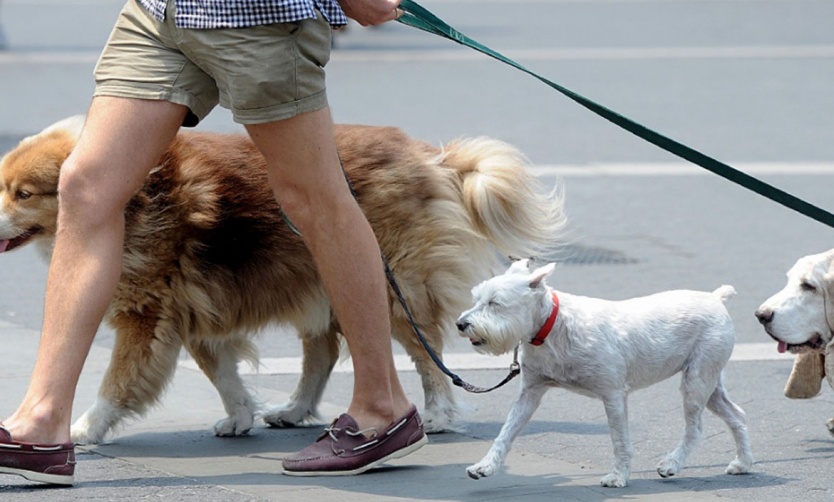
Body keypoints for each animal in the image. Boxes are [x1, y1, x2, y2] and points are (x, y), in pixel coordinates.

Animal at [0, 117, 564, 444]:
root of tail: (432, 156)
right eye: (4, 187)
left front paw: (81, 429)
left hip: (391, 285)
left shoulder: (149, 315)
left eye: (24, 194)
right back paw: (294, 410)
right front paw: (240, 416)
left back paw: (440, 415)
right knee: (324, 352)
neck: (133, 198)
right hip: (323, 279)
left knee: (428, 355)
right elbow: (222, 373)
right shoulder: (194, 307)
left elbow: (116, 382)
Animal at [458, 260, 752, 488]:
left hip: (697, 381)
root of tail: (716, 298)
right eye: (477, 299)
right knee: (737, 415)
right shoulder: (530, 392)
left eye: (495, 303)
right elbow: (506, 432)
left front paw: (618, 477)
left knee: (696, 428)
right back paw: (743, 463)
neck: (551, 326)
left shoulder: (613, 394)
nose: (461, 323)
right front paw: (484, 466)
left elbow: (619, 439)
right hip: (710, 384)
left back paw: (671, 464)